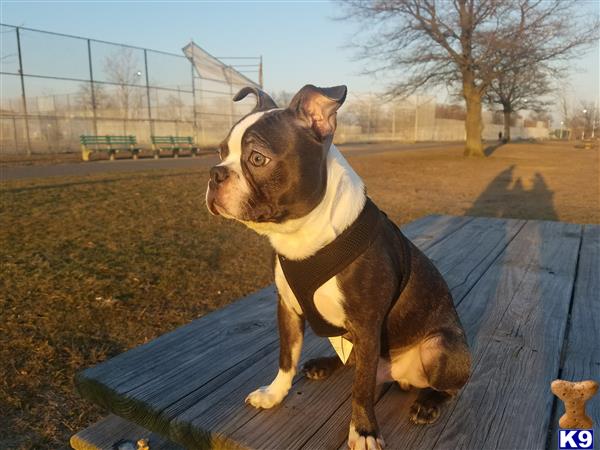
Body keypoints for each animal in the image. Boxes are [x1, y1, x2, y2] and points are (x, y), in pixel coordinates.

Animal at [205, 85, 468, 450]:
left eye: (257, 158)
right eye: (219, 152)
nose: (214, 173)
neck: (302, 235)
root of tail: (398, 375)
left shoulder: (367, 325)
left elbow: (361, 390)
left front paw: (363, 431)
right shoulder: (288, 309)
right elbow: (286, 357)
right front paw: (275, 394)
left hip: (440, 345)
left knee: (447, 388)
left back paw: (428, 403)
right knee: (352, 362)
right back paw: (323, 365)